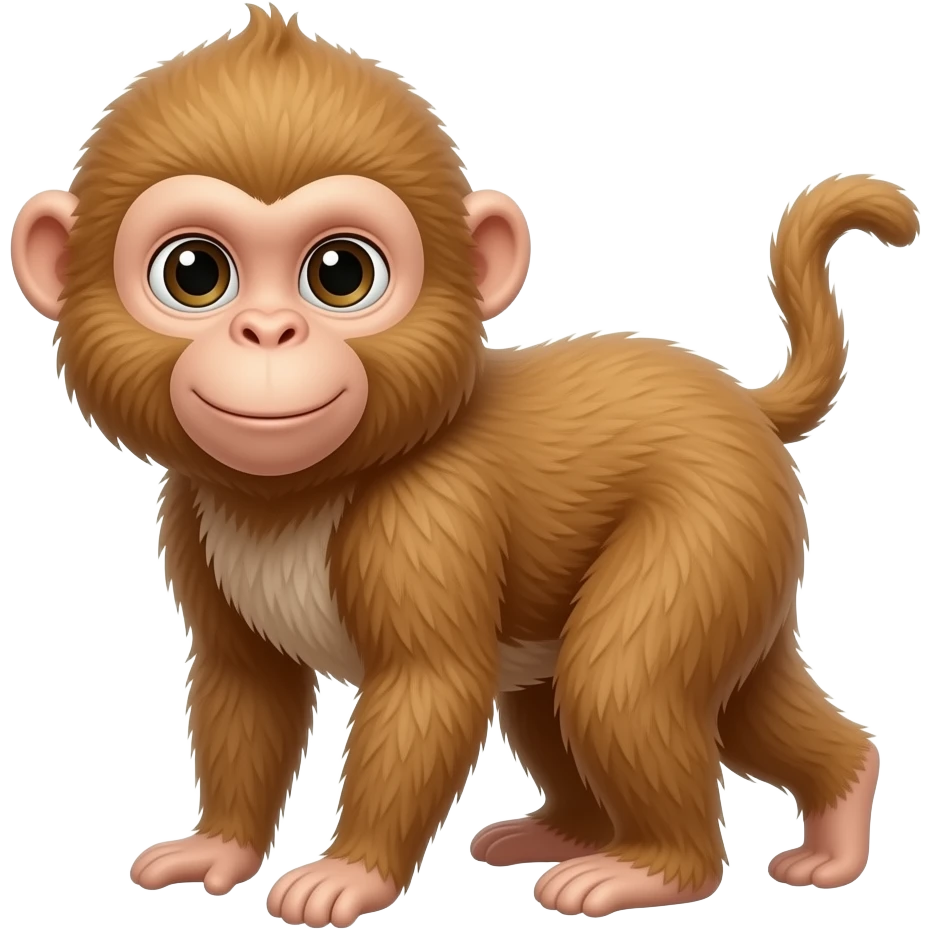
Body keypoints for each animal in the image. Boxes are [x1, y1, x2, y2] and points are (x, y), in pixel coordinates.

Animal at [10, 6, 918, 927]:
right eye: (194, 273)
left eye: (341, 273)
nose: (267, 332)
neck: (297, 493)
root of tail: (743, 403)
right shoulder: (192, 512)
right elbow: (246, 683)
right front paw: (220, 845)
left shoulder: (426, 516)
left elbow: (430, 688)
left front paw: (351, 873)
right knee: (686, 699)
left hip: (714, 521)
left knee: (620, 682)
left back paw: (655, 867)